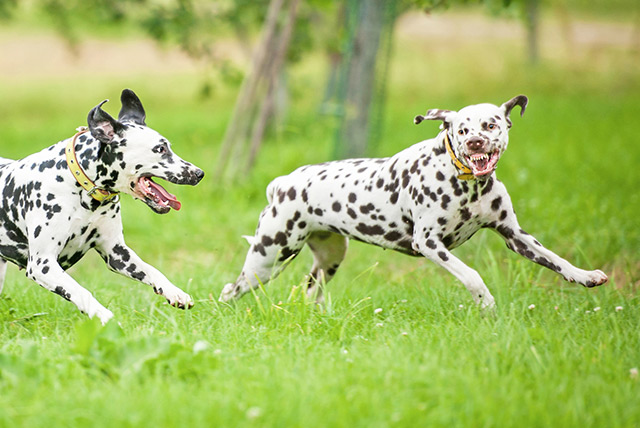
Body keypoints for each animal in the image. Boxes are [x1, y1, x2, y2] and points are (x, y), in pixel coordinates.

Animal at [0, 91, 204, 324]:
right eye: (160, 149)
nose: (199, 173)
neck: (80, 188)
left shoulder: (116, 254)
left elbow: (152, 270)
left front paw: (174, 291)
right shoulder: (43, 264)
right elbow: (80, 291)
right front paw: (102, 314)